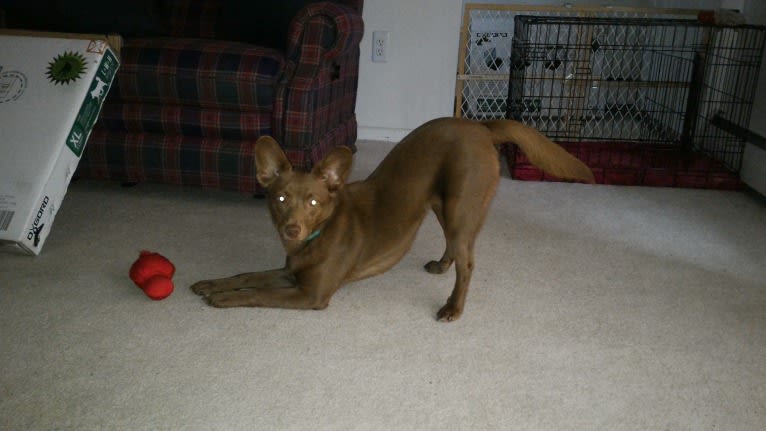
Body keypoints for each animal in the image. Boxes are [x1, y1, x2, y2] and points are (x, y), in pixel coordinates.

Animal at [190, 118, 592, 320]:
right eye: (281, 198)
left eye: (314, 201)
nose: (291, 228)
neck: (318, 235)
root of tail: (481, 126)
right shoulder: (290, 273)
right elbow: (246, 276)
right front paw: (211, 284)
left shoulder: (310, 294)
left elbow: (257, 293)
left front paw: (222, 300)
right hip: (442, 205)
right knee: (455, 247)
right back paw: (440, 266)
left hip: (460, 207)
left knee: (468, 264)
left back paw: (453, 307)